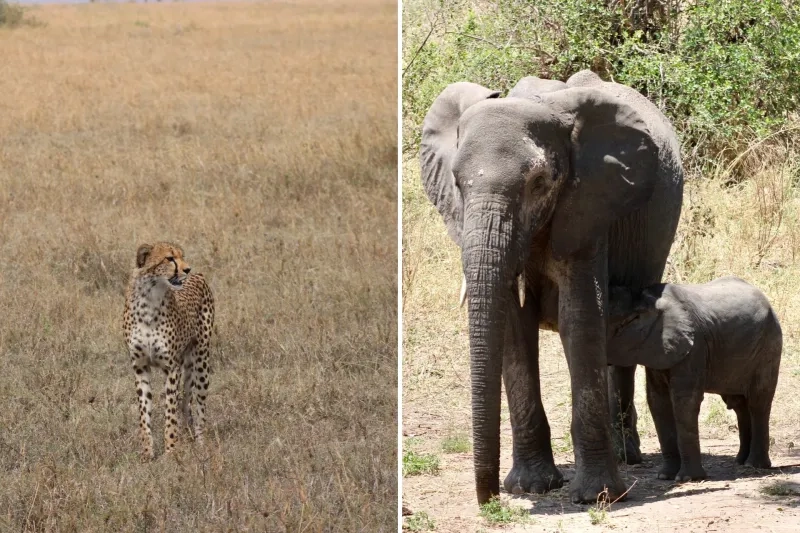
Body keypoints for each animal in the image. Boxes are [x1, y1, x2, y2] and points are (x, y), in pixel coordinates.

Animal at [419, 69, 684, 504]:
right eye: (457, 183)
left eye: (540, 182)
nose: (489, 499)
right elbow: (513, 328)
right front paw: (531, 486)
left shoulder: (589, 204)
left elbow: (580, 316)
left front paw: (596, 496)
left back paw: (626, 456)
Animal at [607, 277, 782, 481]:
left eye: (618, 327)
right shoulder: (657, 350)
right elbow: (658, 402)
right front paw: (665, 476)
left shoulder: (694, 348)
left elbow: (684, 401)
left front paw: (688, 478)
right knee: (739, 405)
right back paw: (740, 461)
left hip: (768, 345)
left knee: (757, 402)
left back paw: (754, 465)